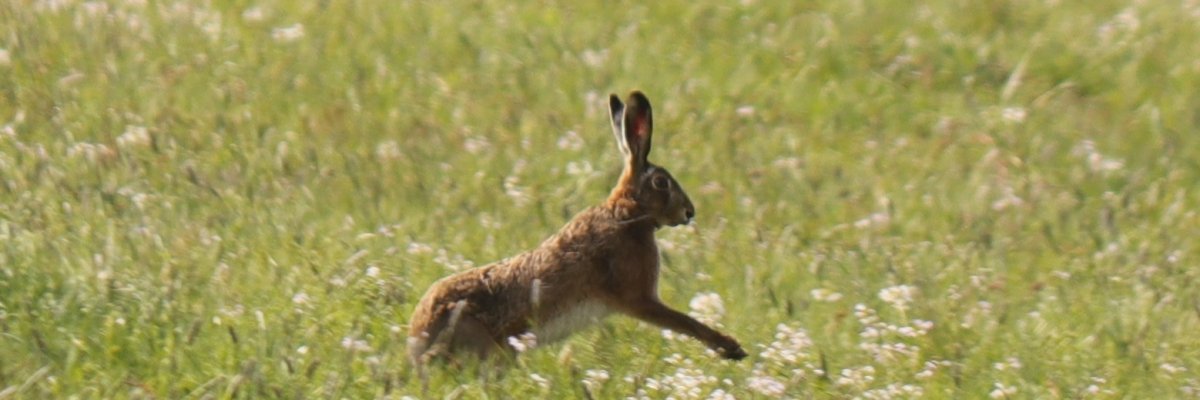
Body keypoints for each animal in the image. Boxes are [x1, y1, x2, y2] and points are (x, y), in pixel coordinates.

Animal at [407, 91, 747, 369]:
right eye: (661, 182)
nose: (689, 212)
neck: (626, 215)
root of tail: (418, 339)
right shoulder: (637, 298)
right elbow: (682, 321)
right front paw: (730, 348)